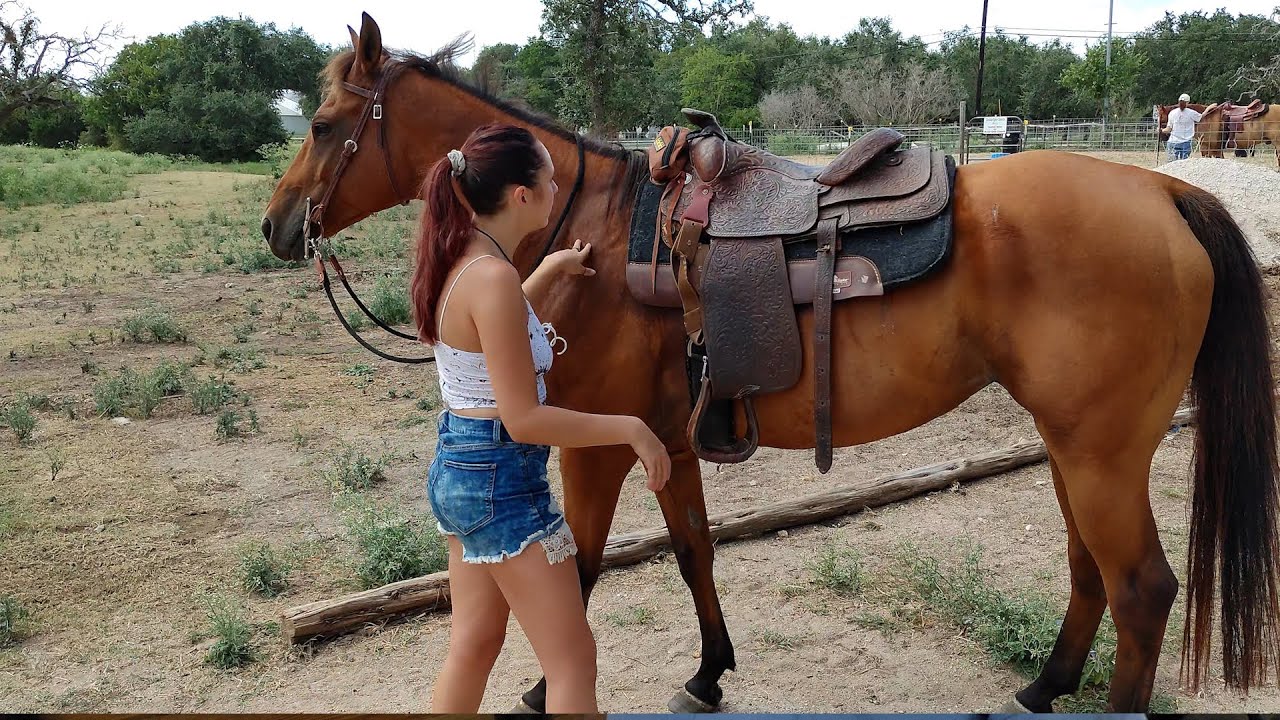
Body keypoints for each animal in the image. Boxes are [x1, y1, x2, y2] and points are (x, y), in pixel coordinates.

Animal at [261, 14, 1280, 713]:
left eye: (323, 123)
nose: (277, 225)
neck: (595, 231)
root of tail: (1167, 191)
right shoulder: (666, 437)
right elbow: (692, 551)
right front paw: (709, 673)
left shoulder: (595, 448)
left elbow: (579, 569)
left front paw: (547, 689)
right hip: (1076, 446)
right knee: (1089, 569)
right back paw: (1043, 686)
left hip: (1100, 451)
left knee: (1142, 588)